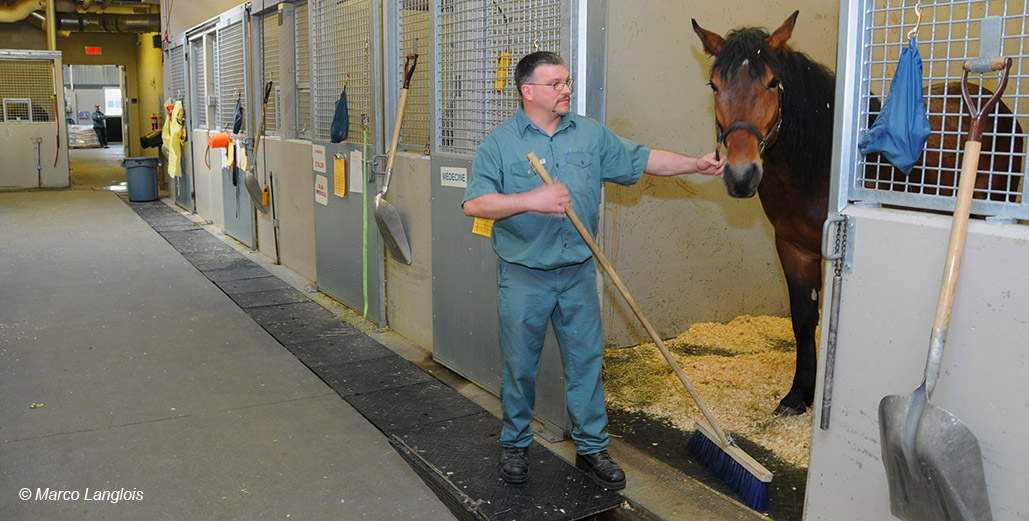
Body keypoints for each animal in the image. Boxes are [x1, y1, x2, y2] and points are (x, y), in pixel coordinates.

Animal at [691, 12, 1020, 415]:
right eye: (714, 85)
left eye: (772, 82)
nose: (741, 175)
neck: (814, 165)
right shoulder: (793, 248)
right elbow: (804, 320)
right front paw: (799, 394)